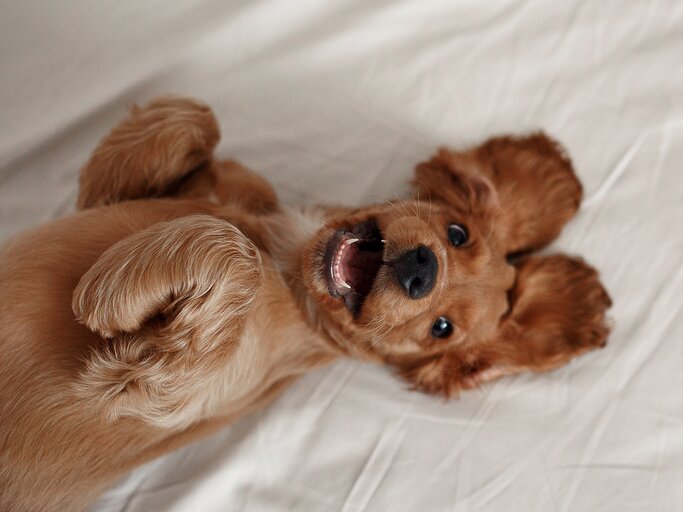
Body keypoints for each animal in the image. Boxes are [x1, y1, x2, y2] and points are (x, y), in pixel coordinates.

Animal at [0, 97, 612, 512]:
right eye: (458, 233)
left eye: (442, 329)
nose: (421, 270)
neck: (292, 260)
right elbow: (195, 118)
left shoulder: (158, 391)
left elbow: (233, 253)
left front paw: (113, 290)